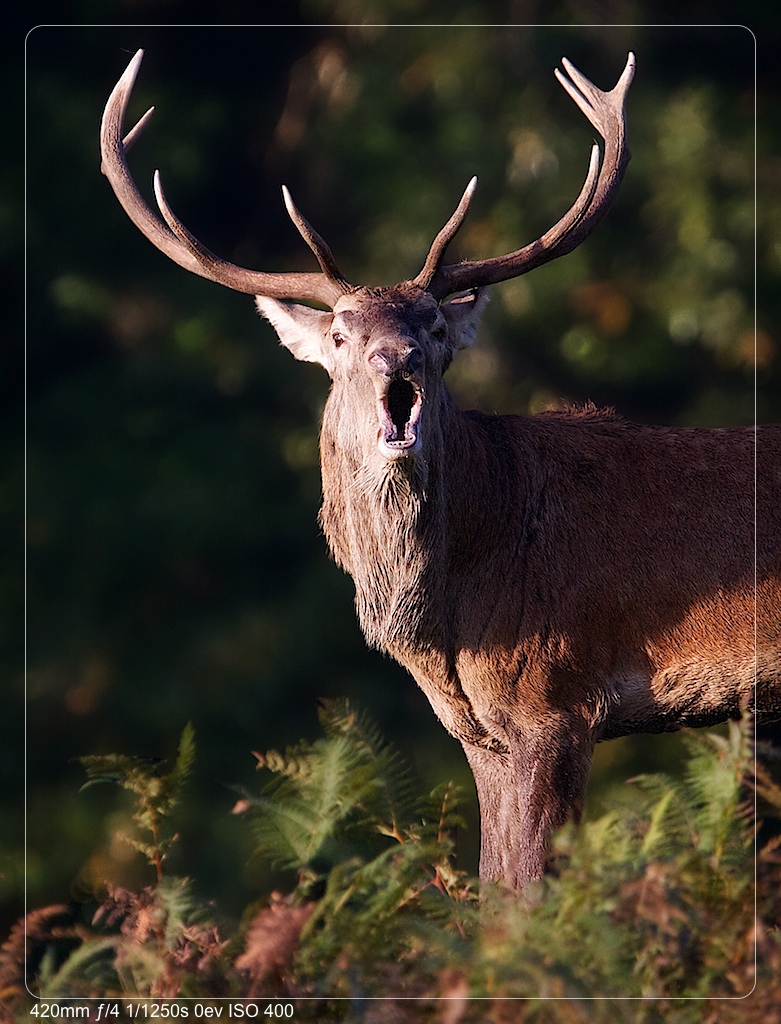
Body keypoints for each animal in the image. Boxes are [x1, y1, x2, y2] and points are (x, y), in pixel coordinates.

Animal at [101, 49, 781, 889]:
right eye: (341, 334)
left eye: (430, 325)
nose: (397, 359)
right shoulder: (481, 730)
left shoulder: (554, 698)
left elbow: (527, 897)